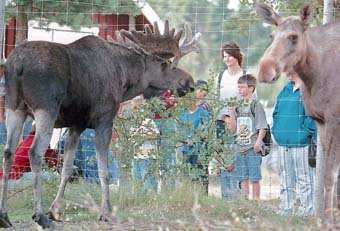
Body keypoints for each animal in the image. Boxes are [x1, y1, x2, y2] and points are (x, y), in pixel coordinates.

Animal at [0, 20, 199, 228]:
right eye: (164, 63)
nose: (189, 82)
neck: (125, 79)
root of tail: (18, 65)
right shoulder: (105, 120)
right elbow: (104, 171)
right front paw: (106, 212)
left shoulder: (76, 125)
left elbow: (67, 169)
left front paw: (55, 210)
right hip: (46, 109)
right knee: (34, 152)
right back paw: (39, 216)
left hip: (14, 107)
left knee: (8, 152)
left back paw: (5, 215)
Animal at [256, 3, 340, 220]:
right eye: (271, 35)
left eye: (293, 37)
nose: (264, 70)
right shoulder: (321, 122)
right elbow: (325, 174)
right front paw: (323, 218)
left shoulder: (335, 121)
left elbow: (330, 175)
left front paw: (328, 220)